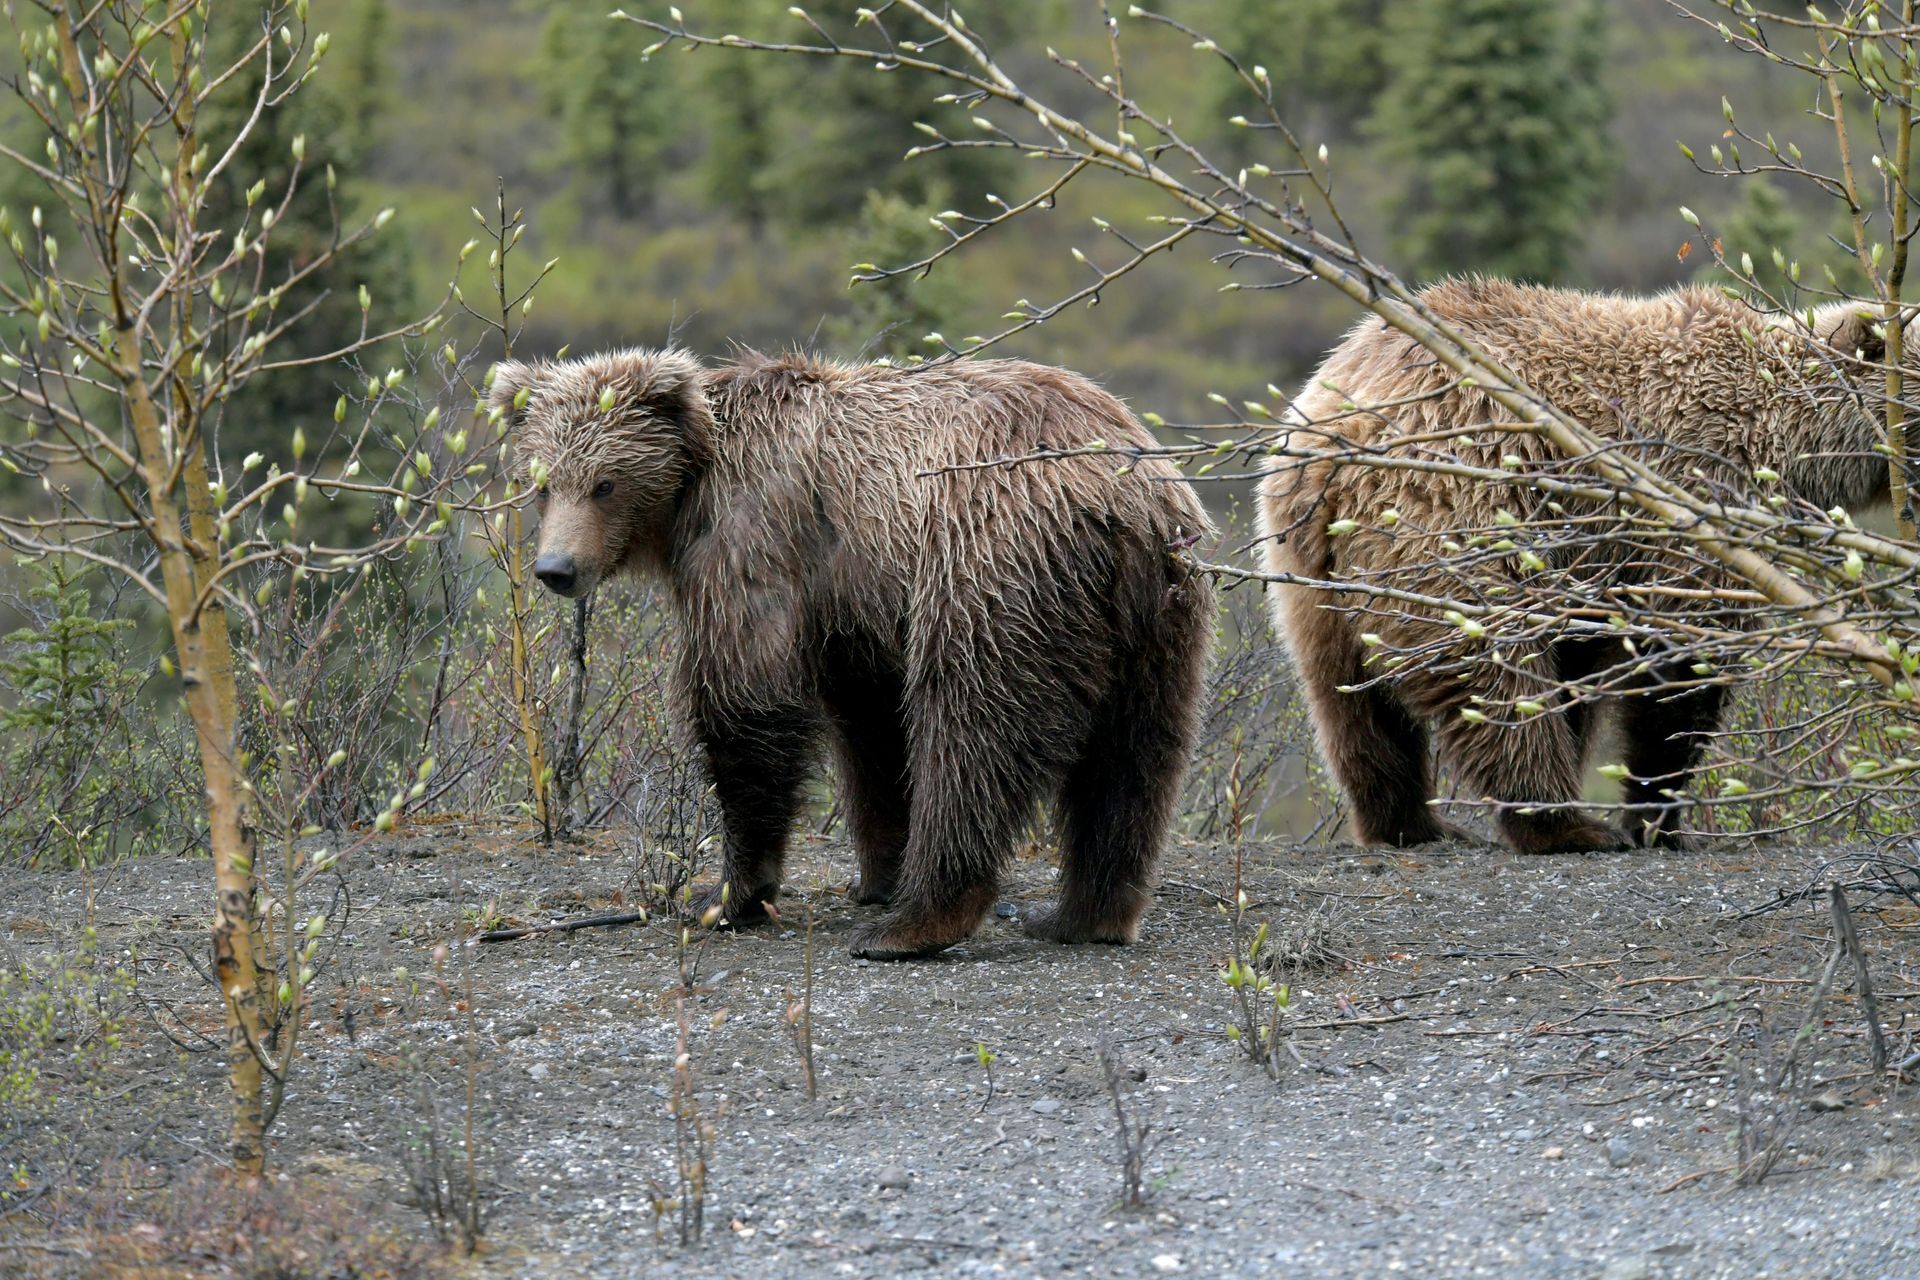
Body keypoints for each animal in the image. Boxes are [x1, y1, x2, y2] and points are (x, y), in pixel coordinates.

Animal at [493, 347, 1215, 959]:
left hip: (990, 565)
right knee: (1137, 753)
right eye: (542, 484)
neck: (690, 490)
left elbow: (746, 700)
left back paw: (914, 923)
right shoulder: (852, 612)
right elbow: (871, 731)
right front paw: (874, 873)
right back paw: (1087, 914)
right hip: (1159, 615)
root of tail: (1123, 497)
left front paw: (729, 892)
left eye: (604, 484)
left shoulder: (757, 538)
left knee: (971, 728)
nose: (556, 569)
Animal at [1258, 278, 1894, 855]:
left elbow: (1585, 664)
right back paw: (1564, 824)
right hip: (1454, 507)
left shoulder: (1593, 565)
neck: (1785, 428)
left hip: (1311, 567)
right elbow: (1684, 655)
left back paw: (1410, 823)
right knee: (1497, 674)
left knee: (1349, 698)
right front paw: (1657, 817)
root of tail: (1338, 424)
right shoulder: (1695, 487)